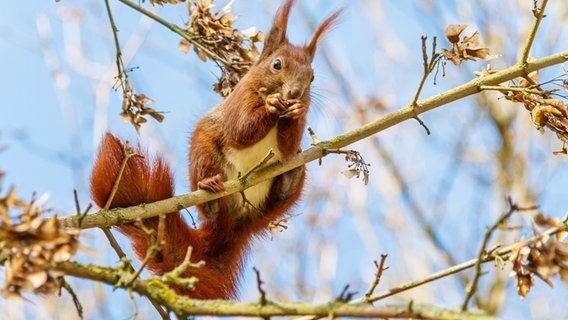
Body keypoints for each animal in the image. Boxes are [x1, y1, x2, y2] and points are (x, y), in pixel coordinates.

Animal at [89, 0, 342, 300]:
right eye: (277, 64)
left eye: (312, 77)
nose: (294, 93)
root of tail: (231, 228)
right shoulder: (238, 102)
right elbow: (240, 130)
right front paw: (271, 106)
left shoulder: (289, 142)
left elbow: (289, 149)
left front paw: (297, 111)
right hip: (203, 151)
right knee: (210, 199)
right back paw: (209, 191)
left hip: (281, 193)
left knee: (283, 191)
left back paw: (288, 181)